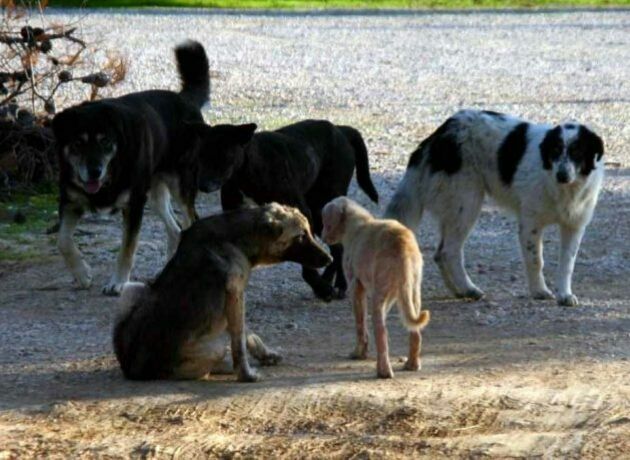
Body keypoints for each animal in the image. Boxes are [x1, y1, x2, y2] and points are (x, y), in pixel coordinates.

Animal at [51, 41, 254, 296]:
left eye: (105, 141)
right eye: (78, 143)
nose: (94, 171)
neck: (111, 172)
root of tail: (184, 99)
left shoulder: (134, 204)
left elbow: (127, 249)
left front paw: (118, 282)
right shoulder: (70, 201)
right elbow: (62, 240)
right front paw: (82, 274)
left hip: (180, 185)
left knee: (190, 222)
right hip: (155, 193)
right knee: (175, 230)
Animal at [113, 203, 334, 382]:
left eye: (309, 232)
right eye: (300, 236)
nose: (330, 259)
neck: (237, 237)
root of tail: (134, 369)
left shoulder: (235, 299)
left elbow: (247, 334)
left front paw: (265, 355)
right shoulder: (235, 294)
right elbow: (239, 342)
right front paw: (246, 374)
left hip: (132, 289)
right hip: (215, 348)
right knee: (206, 369)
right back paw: (227, 368)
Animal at [189, 117, 380, 302]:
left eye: (223, 154)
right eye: (200, 155)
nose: (202, 185)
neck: (248, 170)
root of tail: (340, 129)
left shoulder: (303, 214)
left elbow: (307, 260)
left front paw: (321, 288)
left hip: (323, 204)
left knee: (338, 246)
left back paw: (339, 285)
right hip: (319, 213)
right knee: (336, 248)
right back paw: (328, 280)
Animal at [324, 196, 432, 380]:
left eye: (325, 222)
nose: (323, 238)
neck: (356, 223)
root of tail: (403, 245)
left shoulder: (356, 286)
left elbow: (360, 324)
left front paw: (359, 353)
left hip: (379, 296)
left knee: (381, 334)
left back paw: (383, 371)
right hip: (412, 292)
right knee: (415, 332)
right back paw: (412, 365)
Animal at [388, 109, 604, 308]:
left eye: (577, 152)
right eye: (555, 150)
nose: (562, 175)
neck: (563, 189)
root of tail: (440, 134)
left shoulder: (574, 226)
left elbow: (567, 263)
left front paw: (565, 295)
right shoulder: (530, 224)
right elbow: (536, 260)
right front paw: (539, 291)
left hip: (454, 209)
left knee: (439, 253)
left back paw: (458, 290)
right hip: (466, 203)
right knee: (449, 251)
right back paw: (469, 288)